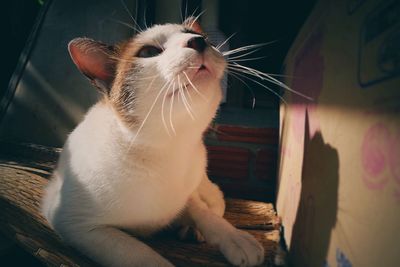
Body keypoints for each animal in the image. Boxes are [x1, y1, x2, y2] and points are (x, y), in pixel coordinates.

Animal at [41, 18, 266, 267]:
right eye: (149, 52)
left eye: (195, 35)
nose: (198, 41)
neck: (167, 148)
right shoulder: (75, 223)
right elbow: (140, 254)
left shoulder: (188, 196)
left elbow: (202, 211)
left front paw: (233, 237)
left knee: (216, 200)